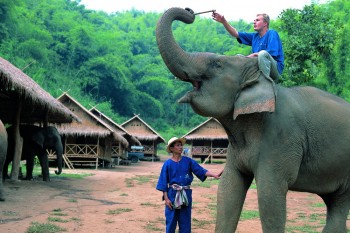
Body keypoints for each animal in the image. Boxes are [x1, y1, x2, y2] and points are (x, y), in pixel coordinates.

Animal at [157, 7, 350, 233]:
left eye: (217, 64)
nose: (189, 12)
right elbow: (228, 190)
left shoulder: (281, 139)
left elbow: (270, 199)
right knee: (336, 204)